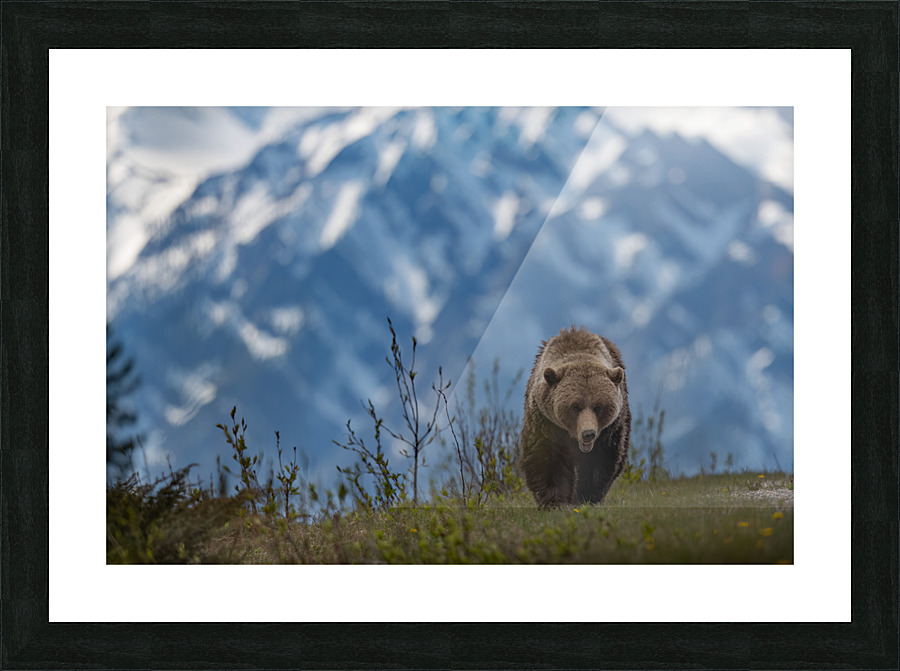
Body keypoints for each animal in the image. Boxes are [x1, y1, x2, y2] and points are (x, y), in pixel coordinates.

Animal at [519, 326, 631, 507]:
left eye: (598, 406)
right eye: (575, 406)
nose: (588, 433)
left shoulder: (609, 431)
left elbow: (599, 462)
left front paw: (585, 498)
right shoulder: (546, 423)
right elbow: (547, 460)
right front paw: (554, 500)